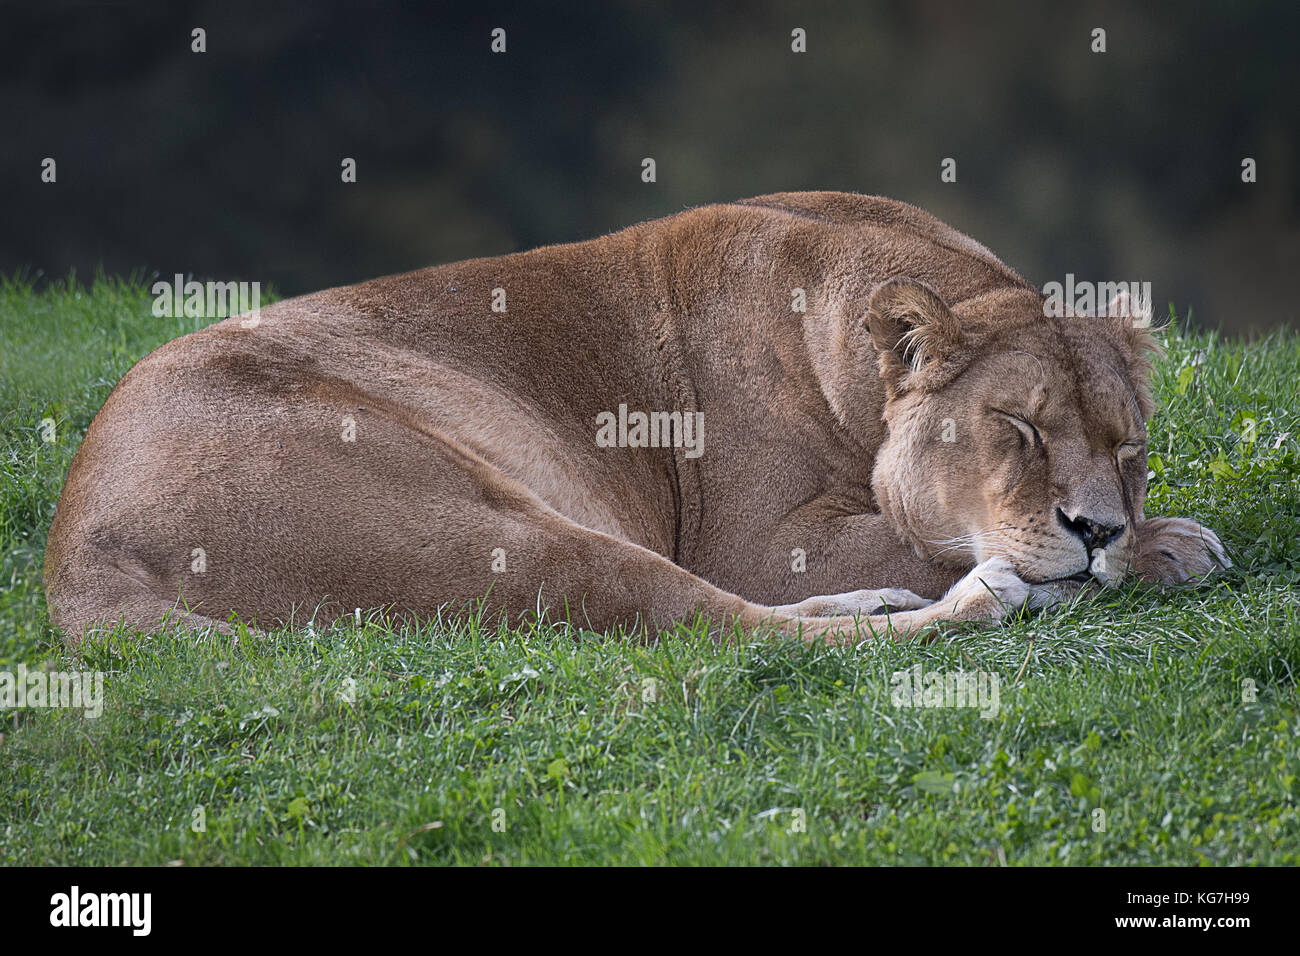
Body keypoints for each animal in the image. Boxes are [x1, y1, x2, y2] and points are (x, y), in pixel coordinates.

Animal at [43, 191, 1227, 647]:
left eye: (1128, 447)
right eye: (1018, 429)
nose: (1097, 527)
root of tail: (76, 549)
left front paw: (1143, 537)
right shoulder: (757, 538)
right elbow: (917, 538)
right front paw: (1165, 547)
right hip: (487, 530)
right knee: (708, 623)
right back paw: (982, 599)